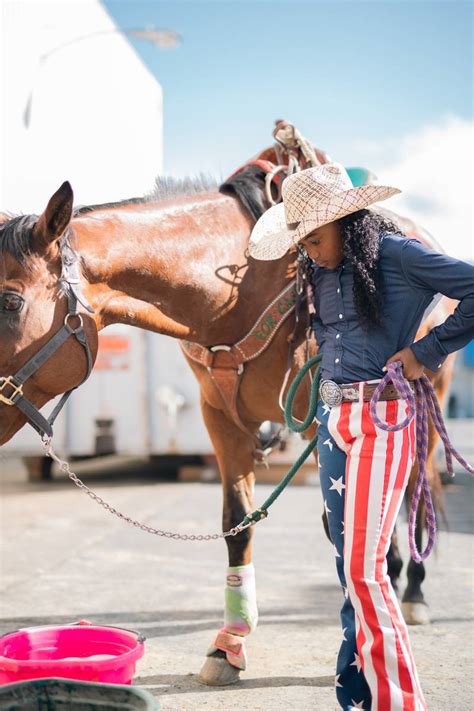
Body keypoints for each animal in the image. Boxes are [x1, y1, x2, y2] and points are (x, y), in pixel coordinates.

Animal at [0, 164, 456, 688]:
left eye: (10, 302)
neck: (237, 290)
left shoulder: (323, 420)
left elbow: (339, 525)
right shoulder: (219, 418)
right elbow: (237, 525)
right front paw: (230, 644)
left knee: (413, 491)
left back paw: (414, 592)